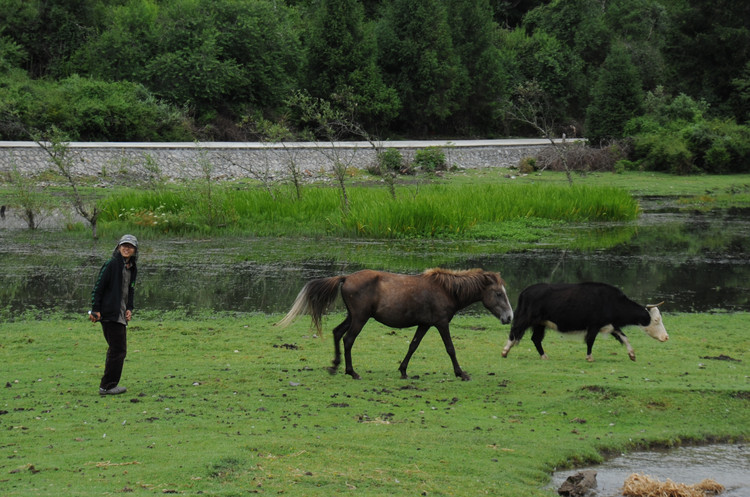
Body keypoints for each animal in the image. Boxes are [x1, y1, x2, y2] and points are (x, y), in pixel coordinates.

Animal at [278, 268, 516, 380]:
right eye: (498, 293)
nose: (509, 317)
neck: (446, 290)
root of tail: (345, 278)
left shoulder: (424, 324)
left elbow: (413, 346)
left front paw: (403, 370)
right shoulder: (441, 323)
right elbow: (450, 348)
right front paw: (461, 373)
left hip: (353, 316)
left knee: (337, 333)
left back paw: (336, 365)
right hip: (360, 318)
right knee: (348, 339)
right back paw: (352, 372)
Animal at [502, 282, 668, 360]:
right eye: (656, 320)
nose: (666, 337)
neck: (612, 301)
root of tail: (525, 292)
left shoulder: (611, 325)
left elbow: (624, 338)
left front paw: (632, 355)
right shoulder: (594, 325)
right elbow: (590, 341)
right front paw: (589, 357)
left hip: (540, 324)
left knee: (535, 339)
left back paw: (544, 356)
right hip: (526, 319)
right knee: (514, 332)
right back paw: (505, 351)